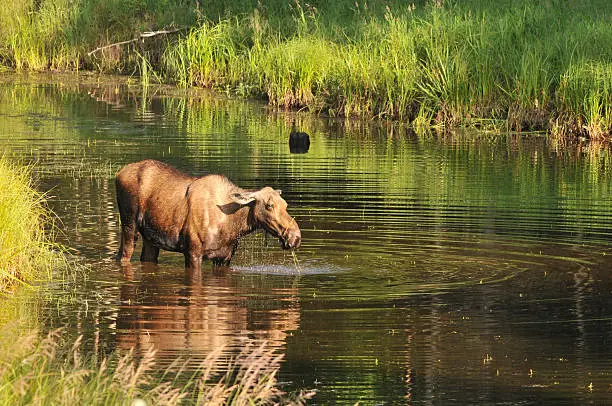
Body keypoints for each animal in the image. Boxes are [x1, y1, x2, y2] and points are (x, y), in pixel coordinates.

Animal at [115, 159, 302, 270]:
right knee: (124, 255)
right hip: (129, 223)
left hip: (151, 237)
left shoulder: (224, 258)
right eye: (269, 205)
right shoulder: (193, 253)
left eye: (286, 205)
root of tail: (118, 173)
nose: (296, 237)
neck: (232, 226)